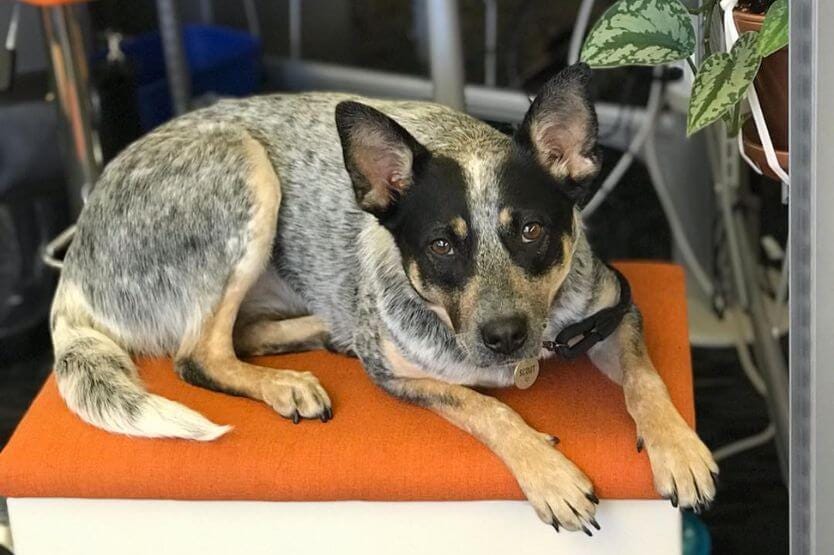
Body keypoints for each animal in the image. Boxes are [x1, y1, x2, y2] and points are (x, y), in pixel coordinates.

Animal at [50, 64, 716, 536]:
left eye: (530, 231)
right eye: (442, 245)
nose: (505, 336)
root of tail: (74, 262)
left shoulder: (610, 309)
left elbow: (646, 378)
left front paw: (679, 448)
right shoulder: (395, 373)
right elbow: (483, 407)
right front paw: (548, 472)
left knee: (236, 334)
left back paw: (317, 334)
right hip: (245, 166)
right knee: (198, 356)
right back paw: (286, 382)